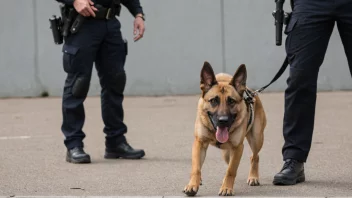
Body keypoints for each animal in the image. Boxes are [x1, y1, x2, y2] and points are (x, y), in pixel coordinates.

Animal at [182, 61, 266, 196]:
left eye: (231, 101)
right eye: (213, 101)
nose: (223, 120)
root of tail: (252, 93)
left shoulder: (238, 148)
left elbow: (231, 170)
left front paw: (226, 188)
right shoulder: (199, 143)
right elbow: (196, 168)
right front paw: (192, 185)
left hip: (256, 139)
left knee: (254, 156)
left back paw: (253, 177)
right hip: (227, 153)